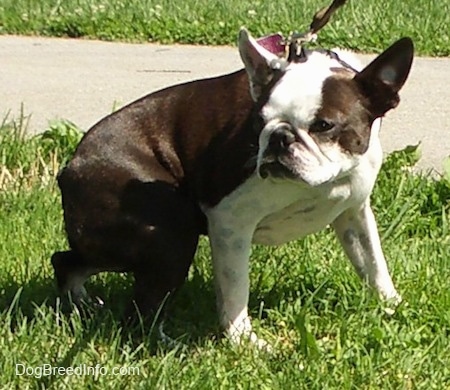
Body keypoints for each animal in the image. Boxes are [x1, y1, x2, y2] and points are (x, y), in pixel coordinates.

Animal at [51, 30, 414, 348]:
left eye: (324, 125)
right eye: (258, 121)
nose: (278, 137)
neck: (320, 183)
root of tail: (72, 167)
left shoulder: (354, 211)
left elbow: (373, 261)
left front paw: (391, 303)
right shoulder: (230, 221)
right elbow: (236, 289)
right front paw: (244, 341)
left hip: (120, 243)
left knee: (68, 260)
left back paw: (81, 303)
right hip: (169, 234)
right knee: (140, 309)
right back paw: (166, 343)